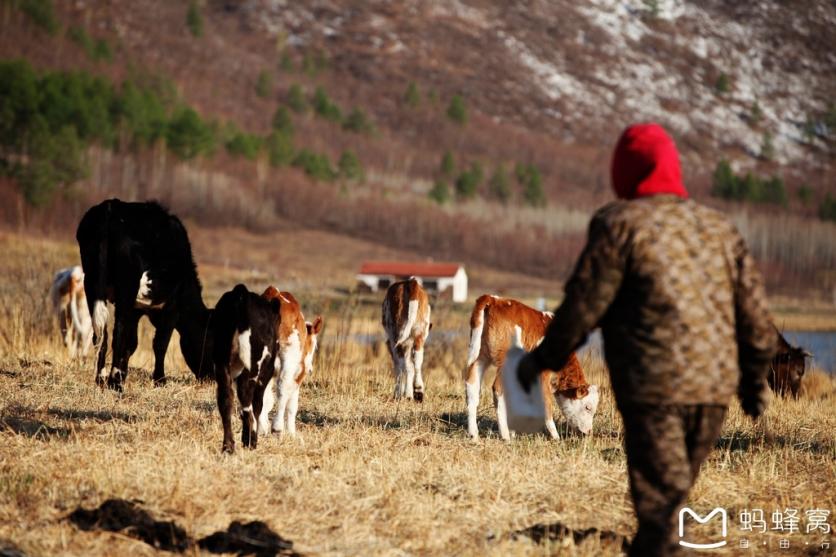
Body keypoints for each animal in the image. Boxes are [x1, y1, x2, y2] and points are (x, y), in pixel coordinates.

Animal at [75, 198, 214, 388]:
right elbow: (160, 343)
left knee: (100, 333)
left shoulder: (136, 310)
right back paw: (115, 382)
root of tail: (110, 207)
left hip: (92, 283)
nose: (212, 378)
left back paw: (101, 378)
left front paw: (125, 372)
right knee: (117, 334)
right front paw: (160, 379)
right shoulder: (172, 306)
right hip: (127, 286)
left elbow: (132, 343)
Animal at [212, 282, 280, 452]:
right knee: (248, 407)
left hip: (221, 362)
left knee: (226, 400)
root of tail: (241, 293)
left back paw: (228, 446)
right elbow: (258, 405)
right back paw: (250, 441)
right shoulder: (265, 373)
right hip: (251, 368)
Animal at [262, 284, 324, 436]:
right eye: (315, 346)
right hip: (288, 357)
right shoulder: (299, 373)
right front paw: (291, 432)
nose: (310, 368)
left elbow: (267, 399)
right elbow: (292, 404)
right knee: (283, 387)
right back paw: (277, 427)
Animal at [464, 294, 600, 440]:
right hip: (504, 361)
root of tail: (494, 299)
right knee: (497, 388)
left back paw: (474, 434)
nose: (589, 432)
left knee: (472, 388)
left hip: (480, 357)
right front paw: (555, 436)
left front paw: (514, 431)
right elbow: (546, 403)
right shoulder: (543, 375)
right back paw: (505, 435)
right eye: (588, 407)